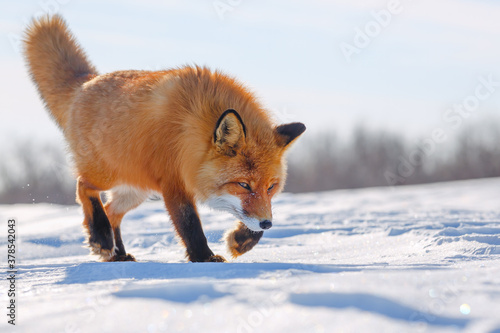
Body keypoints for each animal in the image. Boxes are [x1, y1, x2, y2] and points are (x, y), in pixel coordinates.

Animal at [22, 15, 304, 262]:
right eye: (243, 185)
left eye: (271, 187)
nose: (267, 224)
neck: (192, 128)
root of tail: (85, 83)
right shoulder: (173, 181)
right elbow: (190, 224)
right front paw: (205, 259)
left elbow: (250, 219)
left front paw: (242, 241)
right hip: (107, 174)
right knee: (84, 188)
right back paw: (101, 238)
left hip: (136, 191)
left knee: (112, 212)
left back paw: (117, 254)